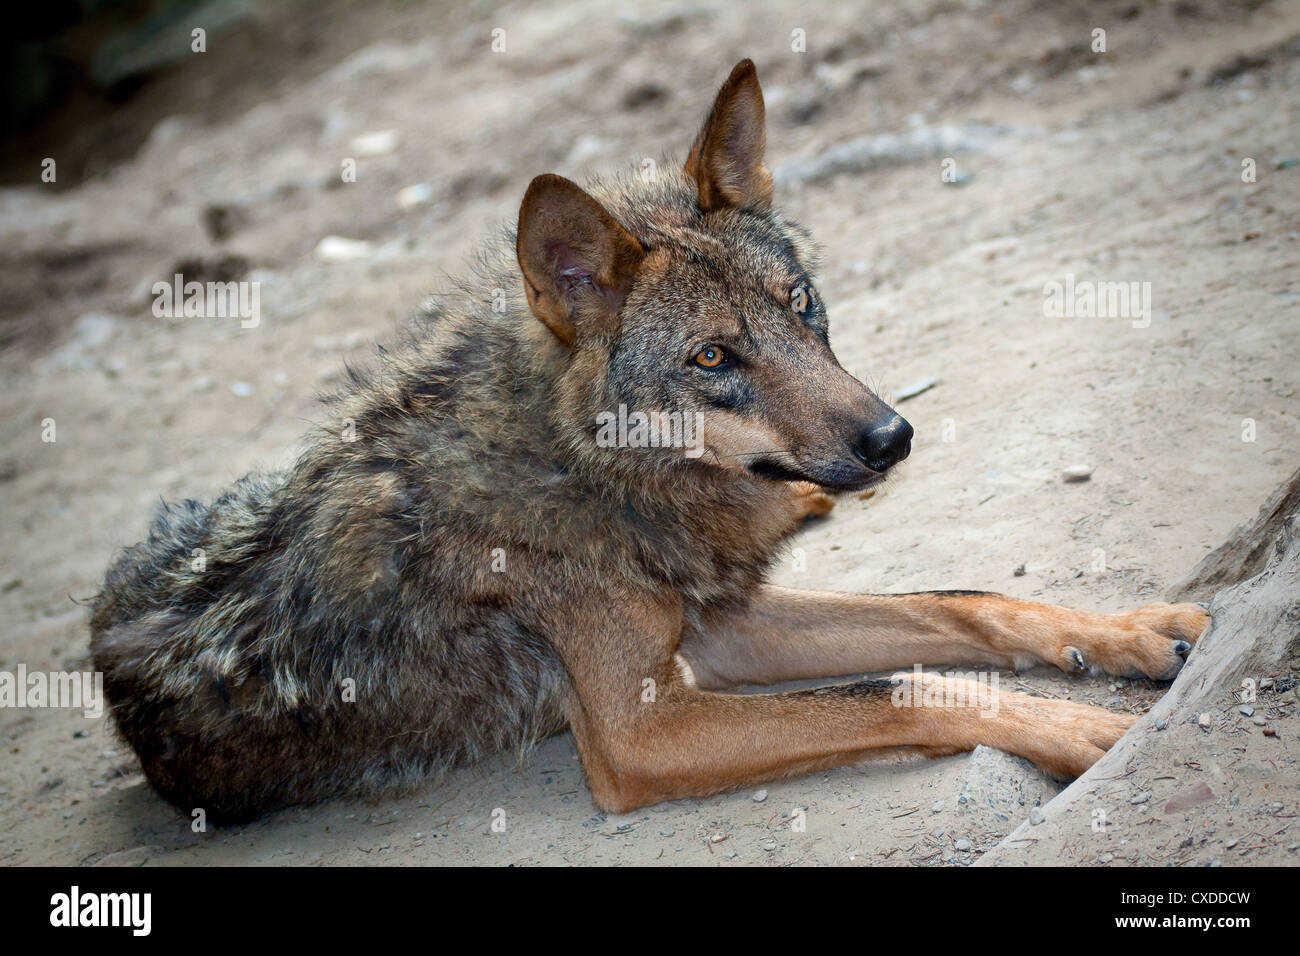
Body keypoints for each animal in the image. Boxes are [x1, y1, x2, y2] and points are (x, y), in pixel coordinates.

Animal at [91, 59, 1206, 822]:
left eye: (800, 304)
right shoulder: (643, 730)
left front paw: (1133, 632)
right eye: (713, 356)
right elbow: (904, 684)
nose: (892, 437)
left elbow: (958, 604)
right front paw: (1085, 728)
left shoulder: (721, 630)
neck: (589, 470)